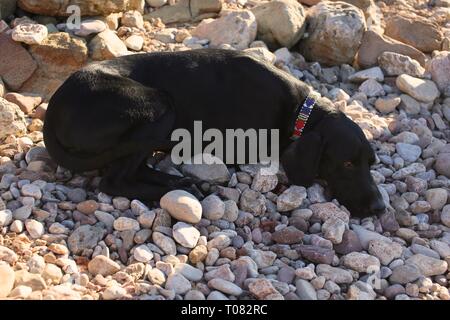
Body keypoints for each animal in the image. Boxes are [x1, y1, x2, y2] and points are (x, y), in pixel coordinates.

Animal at [44, 48, 384, 218]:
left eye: (371, 164)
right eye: (347, 164)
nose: (379, 209)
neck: (300, 111)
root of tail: (52, 110)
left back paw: (181, 182)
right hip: (160, 106)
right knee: (115, 181)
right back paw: (177, 188)